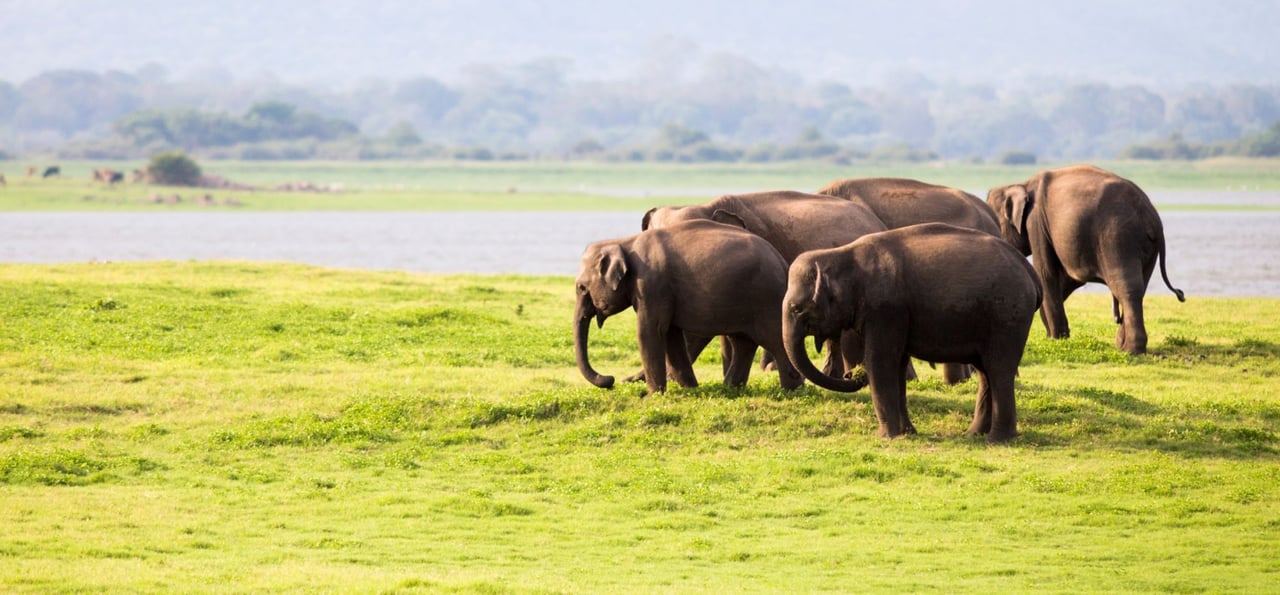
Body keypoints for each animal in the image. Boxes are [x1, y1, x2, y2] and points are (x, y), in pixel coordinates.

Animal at [578, 217, 798, 394]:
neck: (624, 242)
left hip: (766, 300)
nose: (610, 380)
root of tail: (782, 262)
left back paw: (791, 390)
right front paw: (691, 389)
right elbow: (670, 335)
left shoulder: (651, 286)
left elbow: (649, 332)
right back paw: (729, 388)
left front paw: (652, 396)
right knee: (743, 343)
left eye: (581, 287)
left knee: (775, 341)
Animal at [778, 222, 1039, 440]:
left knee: (998, 369)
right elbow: (898, 365)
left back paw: (998, 439)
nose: (850, 374)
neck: (842, 254)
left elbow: (880, 362)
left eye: (796, 309)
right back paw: (974, 434)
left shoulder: (885, 309)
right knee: (986, 372)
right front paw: (907, 433)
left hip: (1007, 317)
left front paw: (887, 437)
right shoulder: (895, 316)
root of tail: (1029, 270)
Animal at [983, 163, 1182, 353]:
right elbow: (1069, 279)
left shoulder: (1036, 220)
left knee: (1126, 287)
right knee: (1139, 286)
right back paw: (1122, 345)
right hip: (1145, 248)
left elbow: (1046, 272)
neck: (1022, 184)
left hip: (1118, 237)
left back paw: (1131, 350)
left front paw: (1056, 339)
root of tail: (1152, 217)